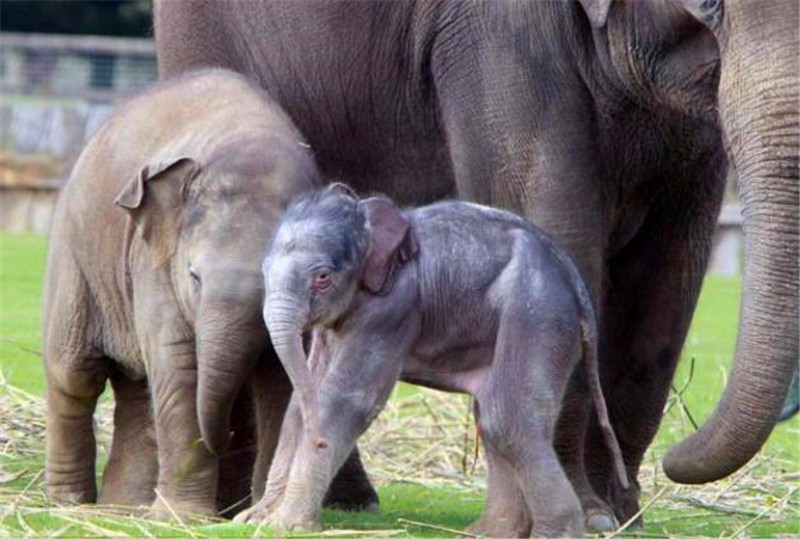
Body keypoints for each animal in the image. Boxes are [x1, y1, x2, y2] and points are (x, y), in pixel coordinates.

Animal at [43, 69, 378, 516]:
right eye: (194, 276)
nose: (226, 439)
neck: (250, 138)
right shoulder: (155, 263)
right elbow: (180, 364)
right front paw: (185, 517)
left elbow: (286, 376)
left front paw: (255, 514)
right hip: (74, 263)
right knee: (74, 375)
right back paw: (70, 504)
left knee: (138, 390)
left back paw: (125, 509)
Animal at [238, 185, 632, 536]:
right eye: (263, 271)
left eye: (322, 278)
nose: (318, 441)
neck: (367, 219)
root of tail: (572, 276)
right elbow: (303, 400)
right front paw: (254, 520)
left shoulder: (391, 307)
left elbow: (346, 400)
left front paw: (285, 526)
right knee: (493, 416)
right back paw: (490, 532)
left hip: (537, 312)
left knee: (507, 418)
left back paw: (555, 532)